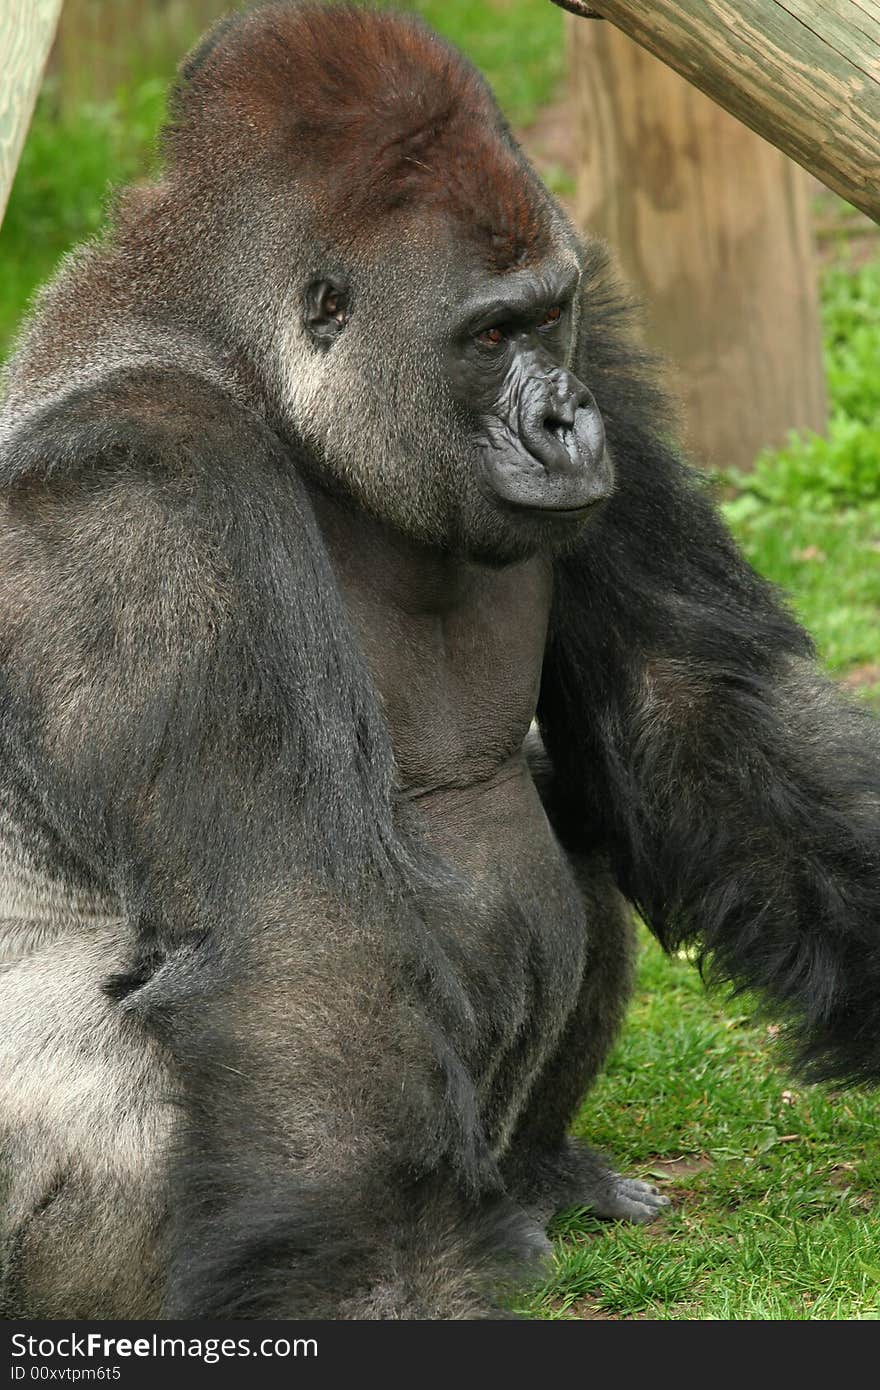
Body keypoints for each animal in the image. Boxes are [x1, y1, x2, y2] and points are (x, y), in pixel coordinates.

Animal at [1, 2, 878, 1323]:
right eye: (490, 334)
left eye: (549, 316)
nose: (564, 419)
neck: (248, 362)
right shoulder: (147, 493)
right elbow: (303, 938)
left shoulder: (600, 331)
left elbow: (698, 720)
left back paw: (544, 1181)